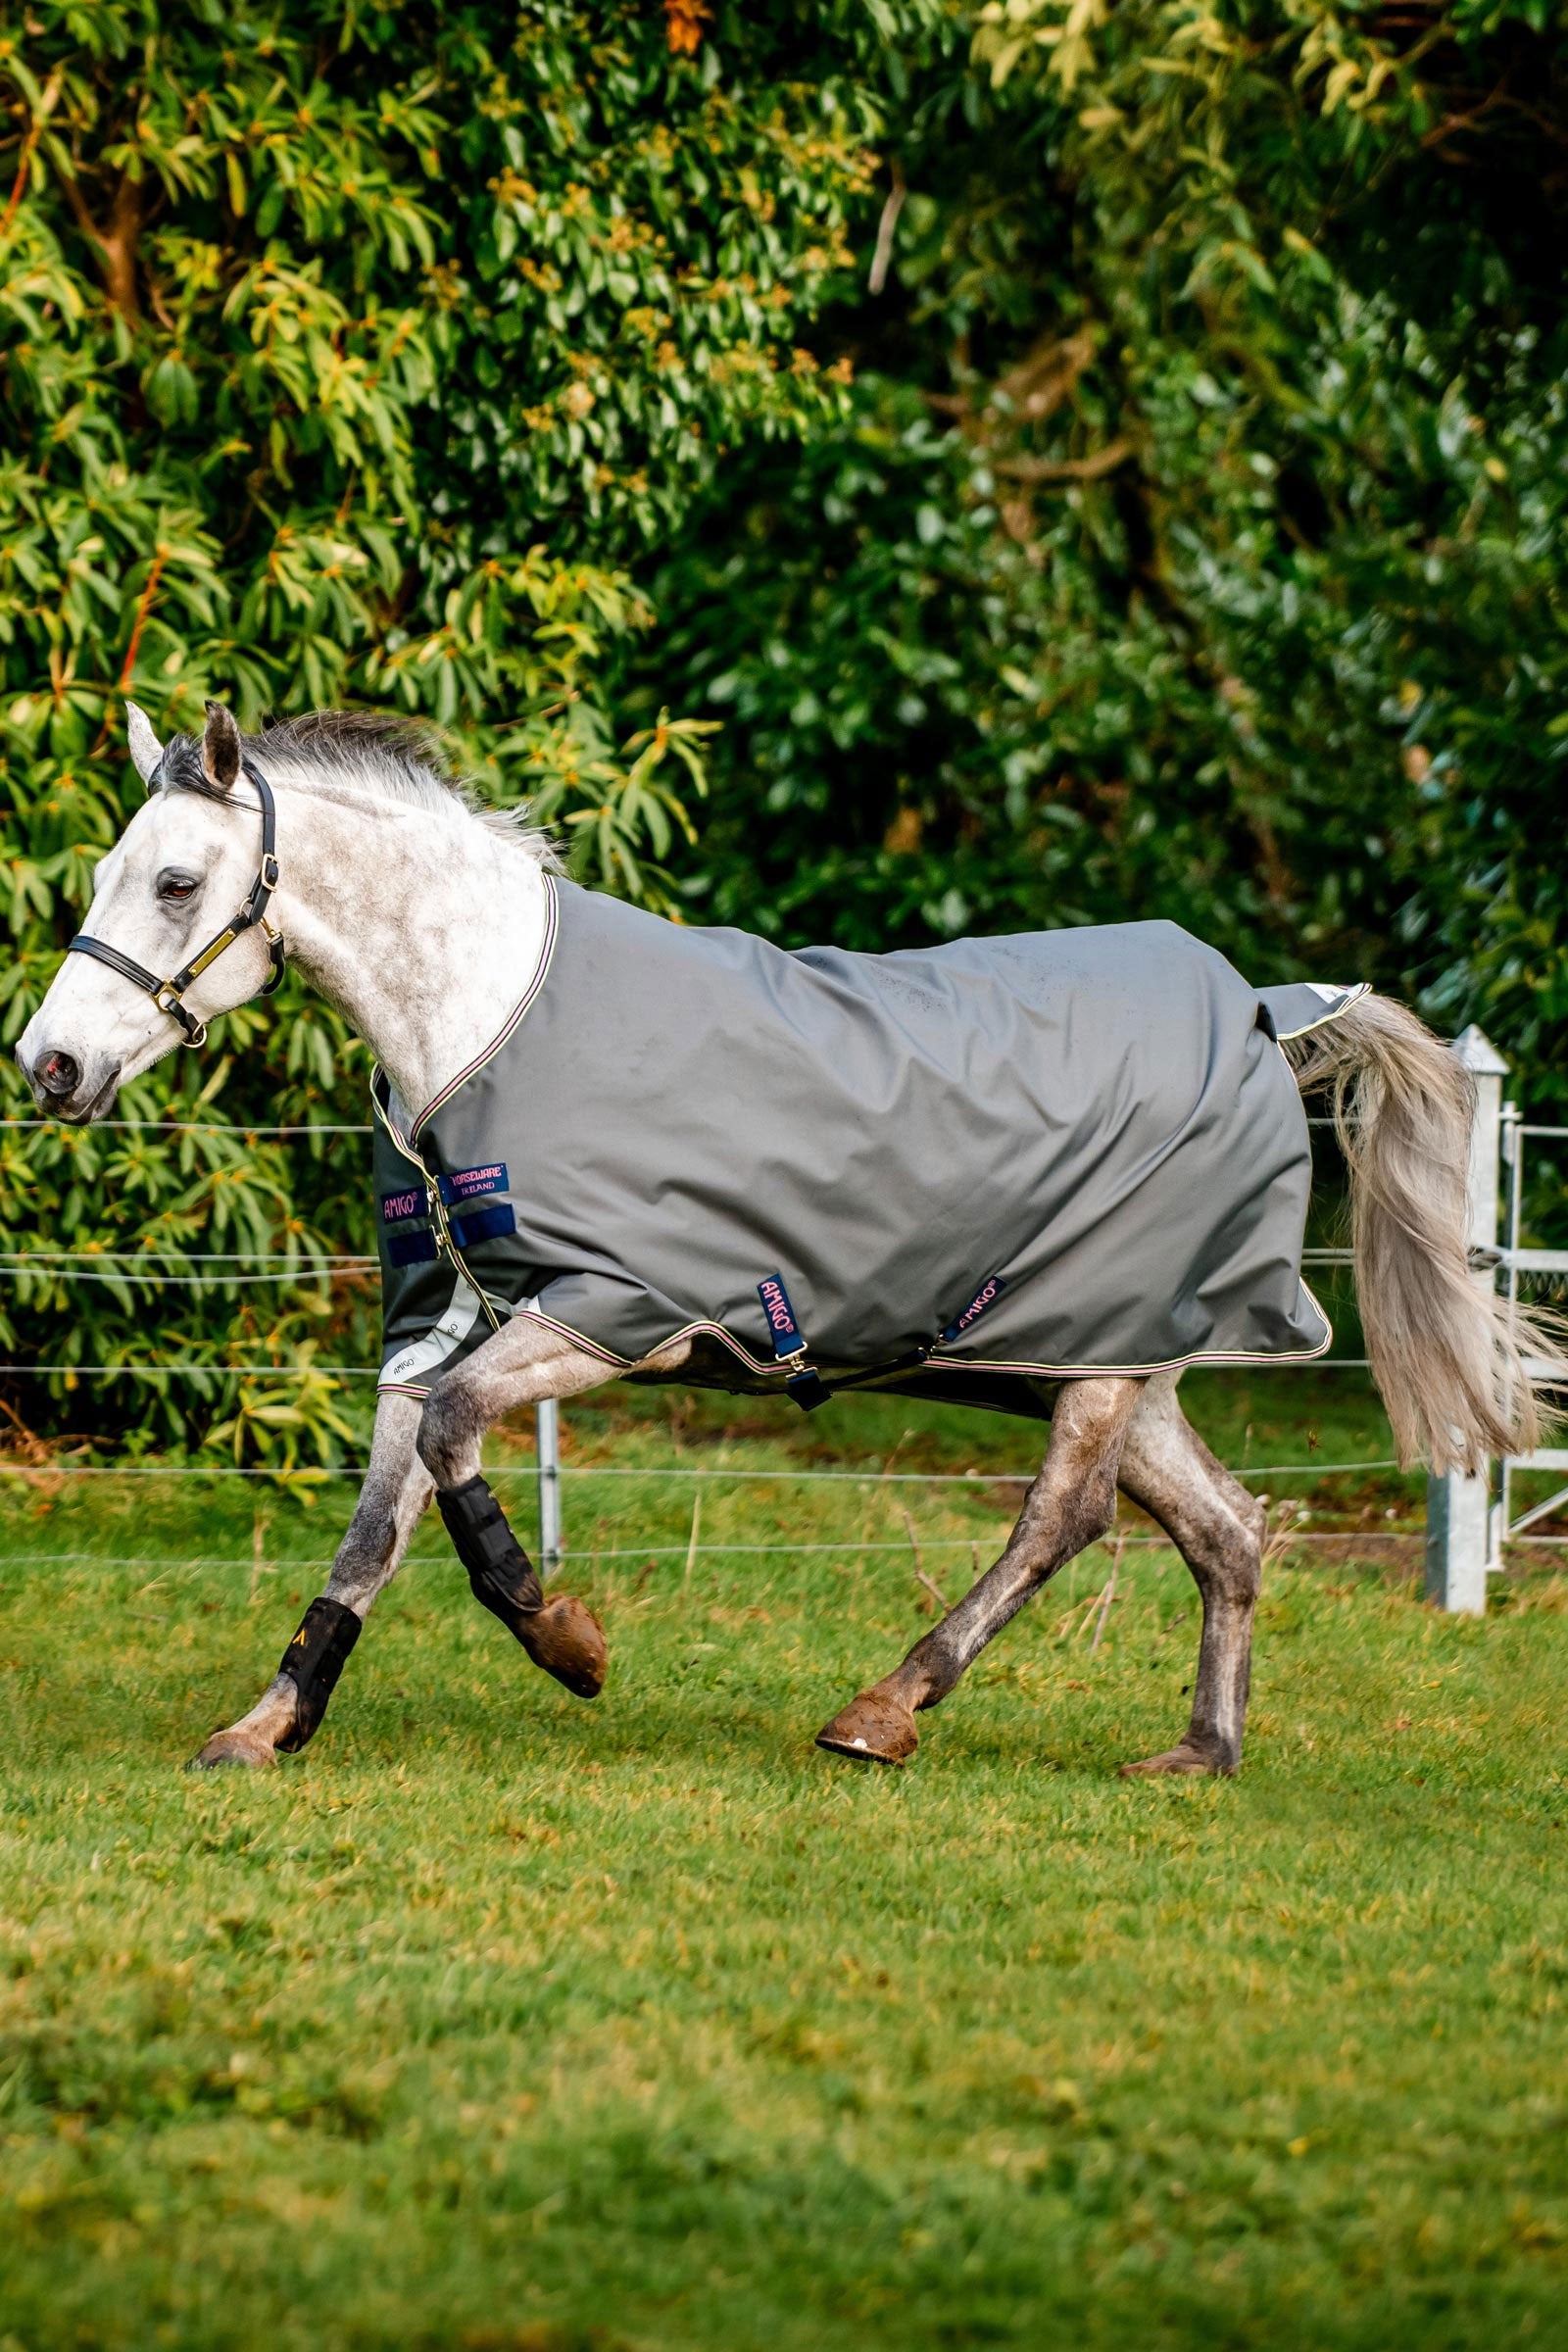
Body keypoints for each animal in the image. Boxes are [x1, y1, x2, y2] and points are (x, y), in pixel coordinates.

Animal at [16, 701, 1560, 1774]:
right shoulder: (437, 1326)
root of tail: (1258, 1009)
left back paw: (883, 1711)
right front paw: (264, 1727)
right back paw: (1197, 1753)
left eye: (173, 883)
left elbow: (454, 1457)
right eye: (107, 870)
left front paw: (568, 1646)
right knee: (1229, 1533)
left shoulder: (606, 1313)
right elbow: (372, 1530)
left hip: (1105, 1355)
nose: (49, 1068)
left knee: (1062, 1520)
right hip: (1113, 1360)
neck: (491, 1018)